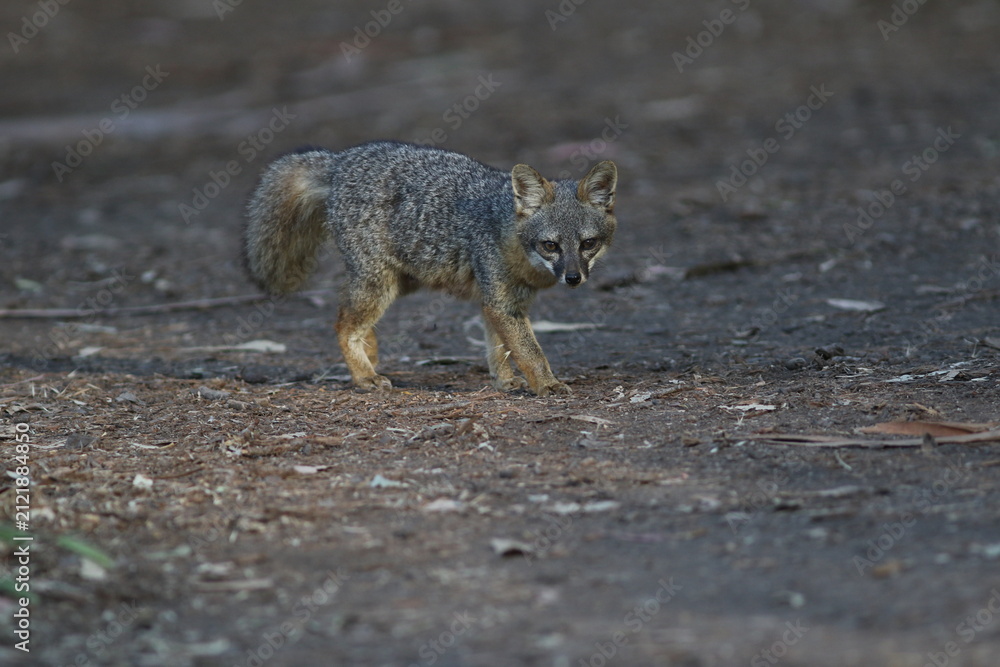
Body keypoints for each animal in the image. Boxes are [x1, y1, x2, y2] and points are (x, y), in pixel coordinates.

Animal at [243, 140, 618, 396]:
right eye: (550, 245)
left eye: (588, 243)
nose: (573, 278)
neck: (506, 228)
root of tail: (341, 159)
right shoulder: (502, 303)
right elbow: (530, 351)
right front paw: (547, 384)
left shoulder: (501, 302)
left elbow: (499, 348)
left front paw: (505, 381)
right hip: (381, 285)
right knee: (342, 324)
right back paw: (364, 376)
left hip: (402, 280)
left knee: (350, 314)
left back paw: (369, 356)